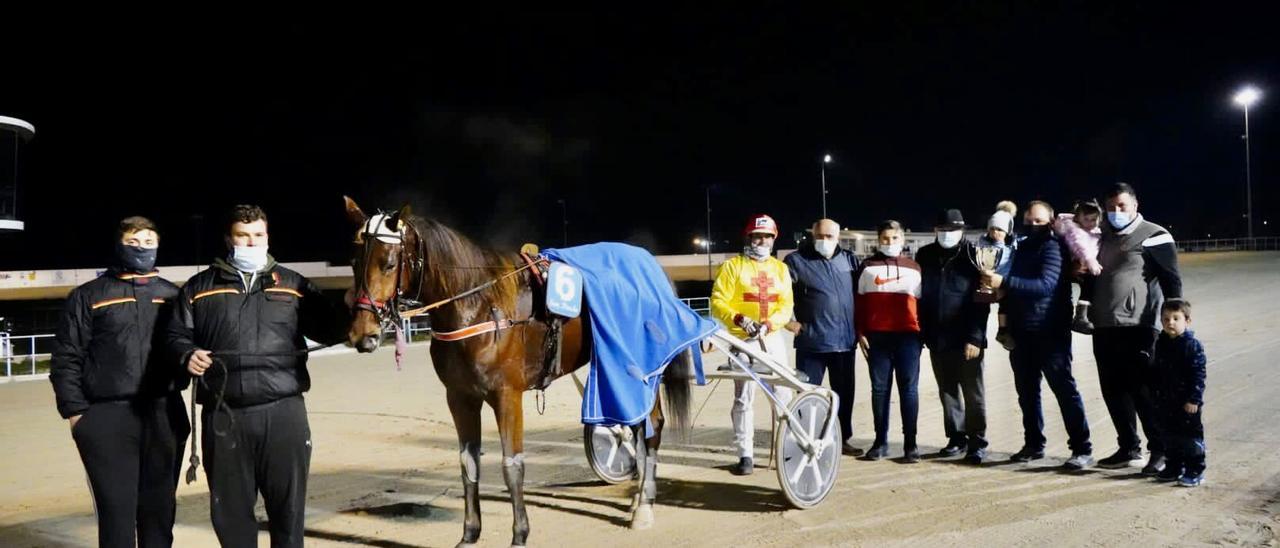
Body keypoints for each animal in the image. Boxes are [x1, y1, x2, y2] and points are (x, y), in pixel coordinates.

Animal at [343, 198, 691, 548]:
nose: (363, 334)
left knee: (652, 428)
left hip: (642, 369)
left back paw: (643, 507)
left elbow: (512, 465)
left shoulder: (506, 396)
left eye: (388, 264)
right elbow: (468, 464)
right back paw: (636, 499)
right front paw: (469, 534)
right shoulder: (460, 398)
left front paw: (519, 534)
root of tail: (653, 270)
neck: (479, 306)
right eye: (355, 262)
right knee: (636, 426)